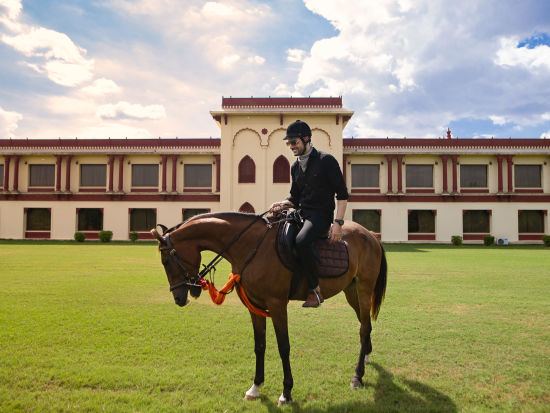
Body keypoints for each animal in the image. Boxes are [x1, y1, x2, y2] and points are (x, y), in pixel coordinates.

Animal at [151, 211, 388, 404]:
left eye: (165, 261)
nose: (179, 298)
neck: (250, 245)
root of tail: (370, 235)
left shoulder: (277, 304)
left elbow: (284, 347)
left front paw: (286, 392)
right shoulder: (254, 306)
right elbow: (260, 346)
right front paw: (255, 387)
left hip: (364, 288)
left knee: (364, 327)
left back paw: (357, 376)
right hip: (351, 290)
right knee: (364, 324)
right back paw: (366, 355)